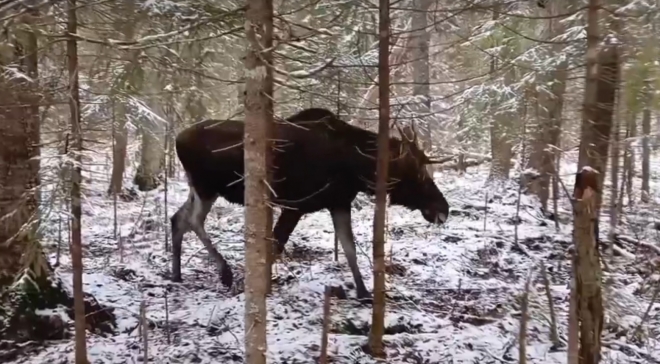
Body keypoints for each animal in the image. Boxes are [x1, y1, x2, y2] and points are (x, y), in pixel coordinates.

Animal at [169, 107, 448, 298]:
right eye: (418, 173)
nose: (444, 208)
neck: (356, 168)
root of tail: (176, 139)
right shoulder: (295, 205)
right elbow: (276, 245)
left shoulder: (339, 202)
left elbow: (349, 248)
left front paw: (363, 291)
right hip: (206, 187)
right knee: (193, 220)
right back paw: (225, 272)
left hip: (198, 188)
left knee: (177, 218)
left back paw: (177, 274)